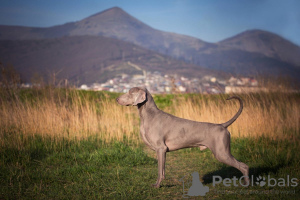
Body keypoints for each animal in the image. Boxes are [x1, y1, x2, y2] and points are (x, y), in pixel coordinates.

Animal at [116, 87, 250, 188]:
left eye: (130, 92)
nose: (117, 99)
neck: (148, 115)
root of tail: (222, 125)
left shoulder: (161, 149)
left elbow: (160, 171)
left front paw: (157, 185)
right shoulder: (162, 151)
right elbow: (162, 170)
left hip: (221, 152)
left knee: (244, 166)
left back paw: (246, 184)